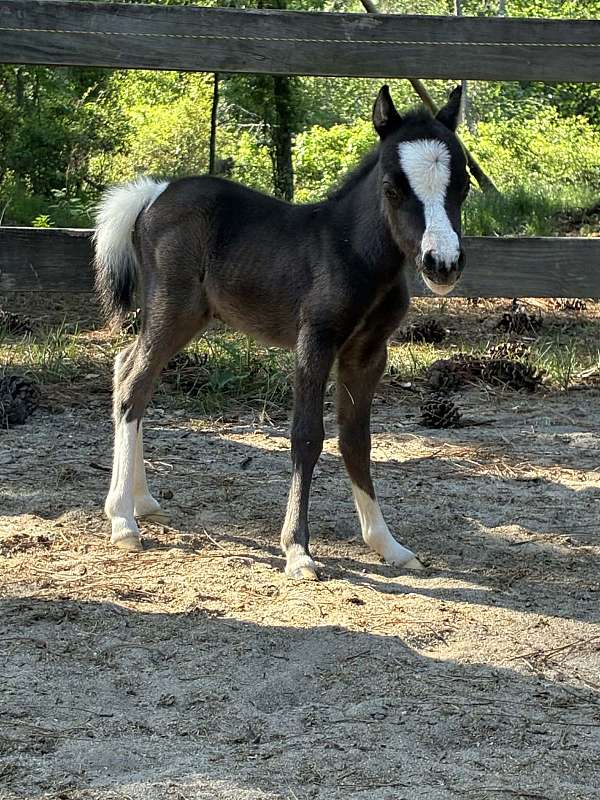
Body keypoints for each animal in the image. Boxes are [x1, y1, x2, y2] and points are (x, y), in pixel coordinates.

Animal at [94, 84, 469, 580]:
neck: (352, 253)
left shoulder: (367, 352)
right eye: (392, 188)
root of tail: (155, 193)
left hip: (185, 317)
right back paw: (122, 520)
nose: (442, 263)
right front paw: (298, 550)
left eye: (462, 187)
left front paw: (388, 545)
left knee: (128, 370)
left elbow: (358, 440)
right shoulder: (315, 341)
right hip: (171, 308)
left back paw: (141, 501)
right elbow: (307, 437)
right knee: (134, 384)